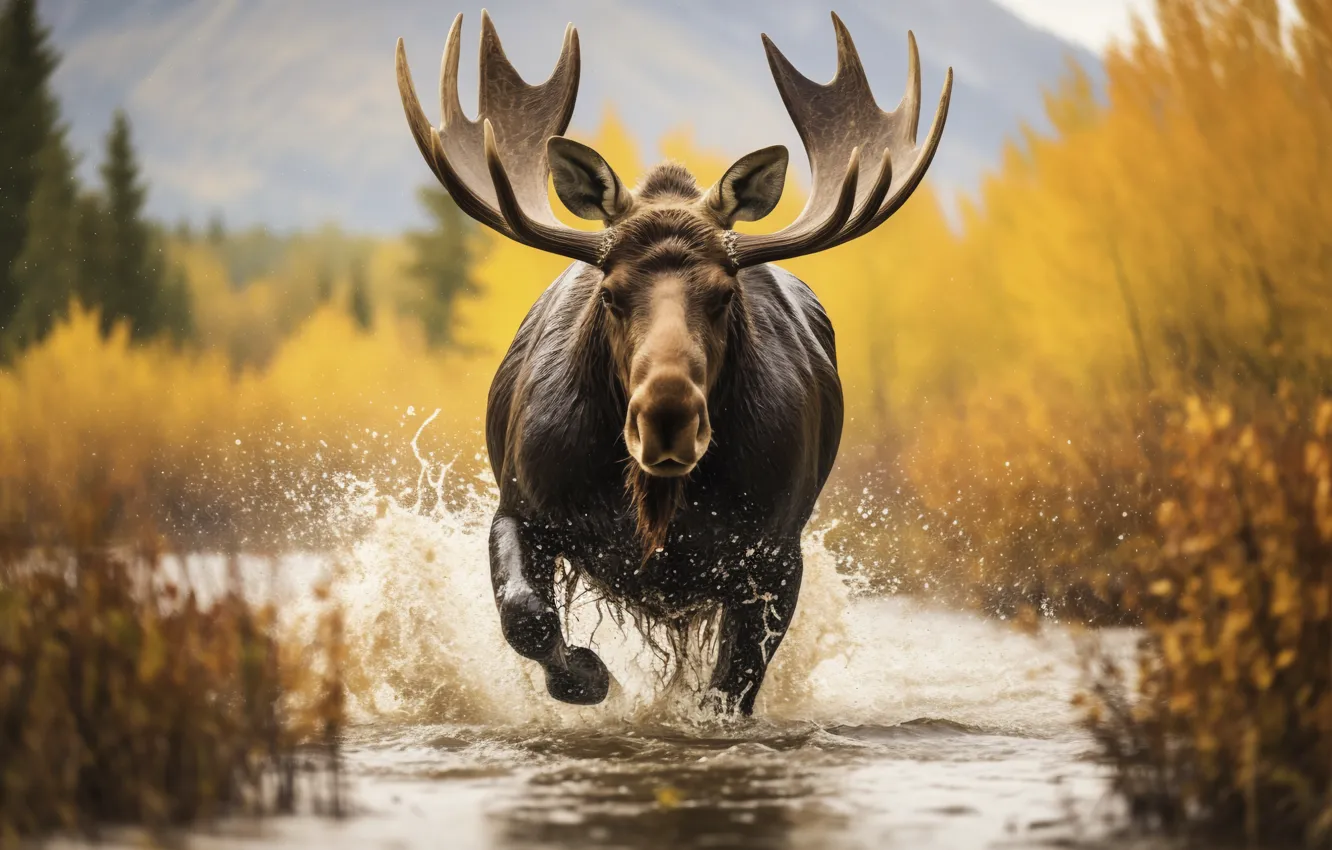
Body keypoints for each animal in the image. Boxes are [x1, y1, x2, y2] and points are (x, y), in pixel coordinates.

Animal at [394, 9, 951, 715]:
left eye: (725, 293)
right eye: (609, 292)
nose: (666, 420)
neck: (655, 507)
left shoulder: (774, 554)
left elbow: (732, 687)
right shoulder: (519, 503)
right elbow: (526, 616)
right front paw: (588, 675)